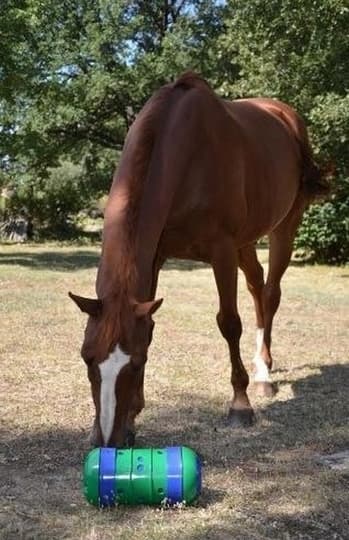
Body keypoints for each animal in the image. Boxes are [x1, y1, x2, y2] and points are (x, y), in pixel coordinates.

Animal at [69, 74, 328, 450]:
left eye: (136, 363)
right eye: (87, 357)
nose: (108, 442)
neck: (186, 154)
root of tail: (285, 115)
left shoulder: (222, 251)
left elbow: (229, 323)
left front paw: (240, 405)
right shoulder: (156, 257)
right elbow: (150, 324)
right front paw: (132, 418)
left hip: (284, 227)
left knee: (270, 293)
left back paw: (264, 375)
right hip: (247, 241)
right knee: (256, 284)